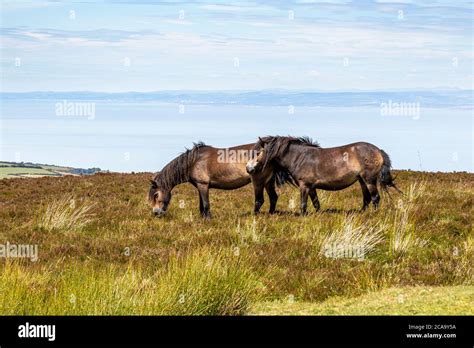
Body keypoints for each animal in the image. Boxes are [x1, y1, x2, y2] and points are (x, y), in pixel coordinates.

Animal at [148, 141, 288, 218]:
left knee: (259, 200)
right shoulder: (200, 186)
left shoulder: (203, 185)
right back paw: (270, 214)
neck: (194, 161)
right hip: (268, 182)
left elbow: (206, 204)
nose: (156, 213)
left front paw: (208, 219)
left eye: (156, 195)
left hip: (258, 181)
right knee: (273, 197)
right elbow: (201, 205)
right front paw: (203, 218)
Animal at [246, 136, 402, 215]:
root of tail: (378, 150)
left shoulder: (304, 185)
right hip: (362, 180)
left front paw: (303, 216)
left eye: (258, 152)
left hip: (369, 180)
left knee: (375, 198)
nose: (249, 169)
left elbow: (303, 204)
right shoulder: (311, 187)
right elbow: (316, 203)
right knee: (367, 199)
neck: (299, 157)